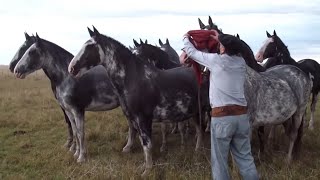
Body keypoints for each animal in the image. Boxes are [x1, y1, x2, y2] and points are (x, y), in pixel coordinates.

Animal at [12, 33, 120, 162]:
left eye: (31, 51)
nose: (15, 70)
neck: (67, 77)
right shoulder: (68, 110)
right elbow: (74, 131)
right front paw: (75, 152)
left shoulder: (78, 110)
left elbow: (80, 133)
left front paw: (81, 158)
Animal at [69, 26, 205, 176]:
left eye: (90, 46)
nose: (71, 68)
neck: (135, 79)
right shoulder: (135, 119)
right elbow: (142, 142)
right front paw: (145, 165)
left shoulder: (143, 118)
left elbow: (147, 144)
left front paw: (148, 170)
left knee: (201, 130)